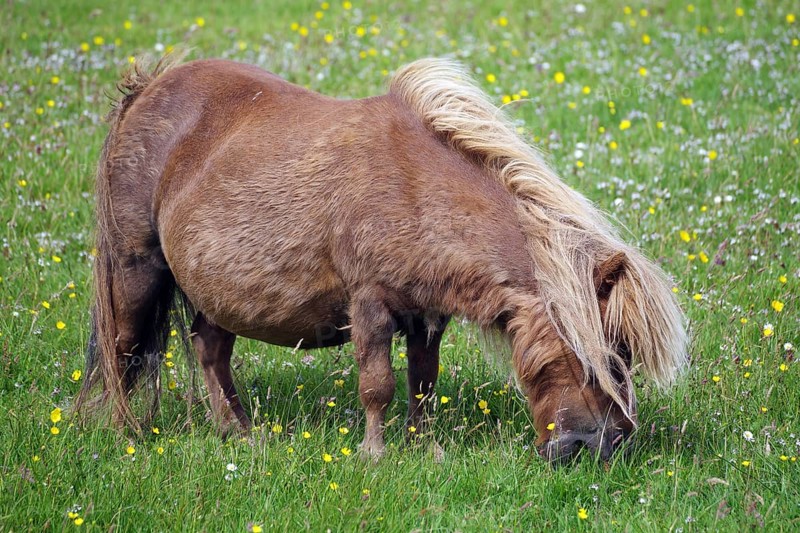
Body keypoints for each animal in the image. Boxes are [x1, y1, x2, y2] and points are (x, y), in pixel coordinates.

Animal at [77, 53, 688, 464]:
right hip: (135, 269)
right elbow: (378, 384)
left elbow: (422, 382)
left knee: (210, 352)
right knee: (123, 349)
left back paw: (239, 432)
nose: (602, 447)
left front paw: (423, 445)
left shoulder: (426, 316)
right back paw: (123, 433)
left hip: (217, 292)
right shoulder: (369, 303)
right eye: (610, 354)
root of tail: (146, 90)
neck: (413, 187)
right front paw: (376, 454)